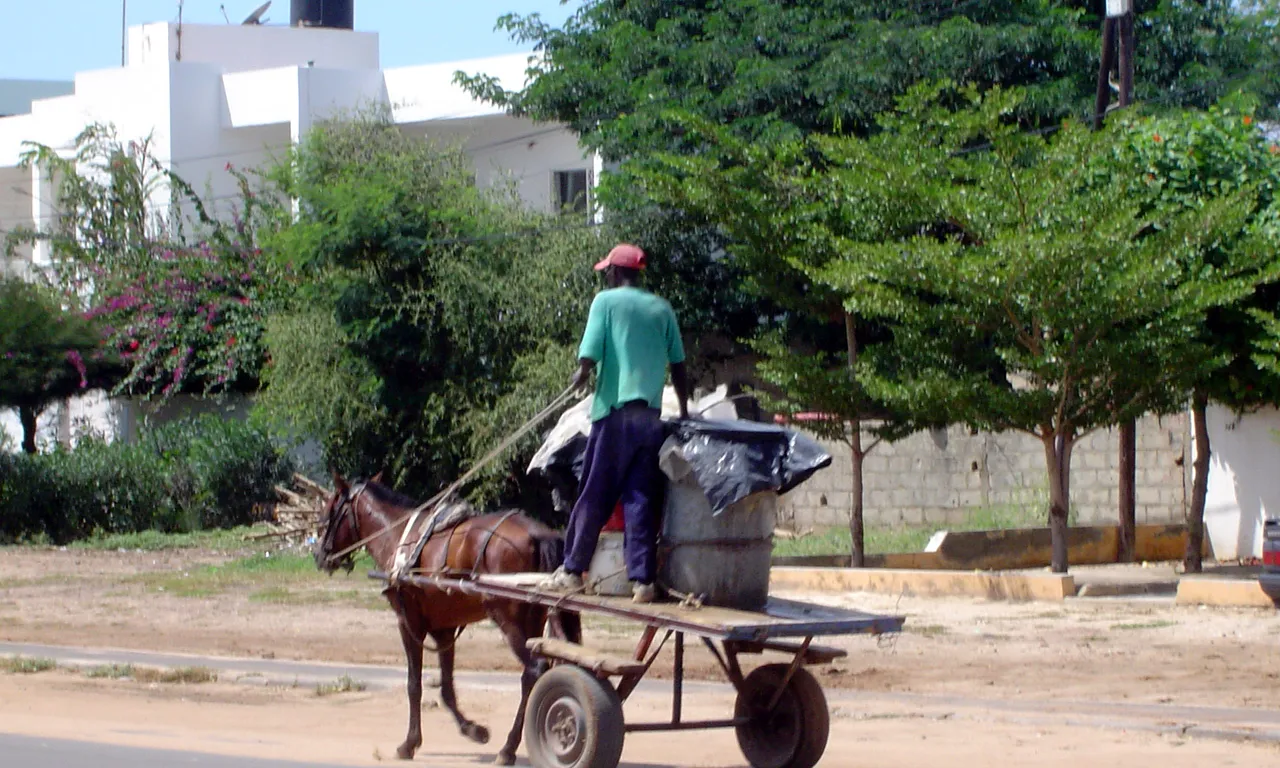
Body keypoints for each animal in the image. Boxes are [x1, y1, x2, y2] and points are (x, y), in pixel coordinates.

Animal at [314, 471, 581, 762]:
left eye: (328, 514)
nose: (319, 555)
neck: (398, 537)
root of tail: (538, 534)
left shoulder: (409, 624)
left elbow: (414, 684)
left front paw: (409, 743)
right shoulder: (444, 630)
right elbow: (446, 688)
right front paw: (473, 730)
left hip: (508, 619)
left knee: (536, 668)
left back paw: (508, 748)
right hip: (534, 618)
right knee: (533, 674)